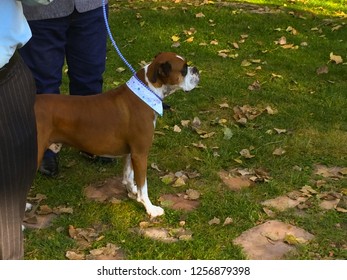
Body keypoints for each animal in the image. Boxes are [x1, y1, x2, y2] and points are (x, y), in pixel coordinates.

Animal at [35, 53, 200, 219]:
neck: (148, 90)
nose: (196, 69)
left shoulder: (131, 153)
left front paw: (133, 192)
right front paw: (150, 208)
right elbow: (143, 186)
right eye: (184, 69)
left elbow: (128, 176)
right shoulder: (140, 154)